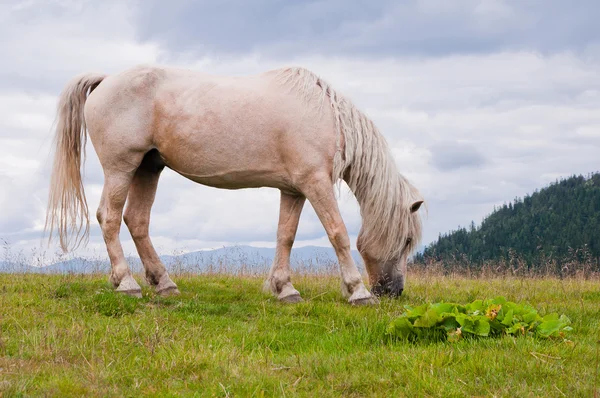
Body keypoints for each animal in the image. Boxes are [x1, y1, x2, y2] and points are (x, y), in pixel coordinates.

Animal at [45, 65, 422, 304]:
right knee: (108, 217)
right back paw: (126, 283)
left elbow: (285, 236)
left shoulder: (294, 190)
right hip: (121, 168)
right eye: (406, 240)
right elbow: (338, 233)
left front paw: (284, 289)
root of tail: (106, 79)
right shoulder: (316, 183)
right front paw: (358, 292)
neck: (325, 114)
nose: (393, 292)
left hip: (148, 168)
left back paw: (164, 284)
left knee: (136, 220)